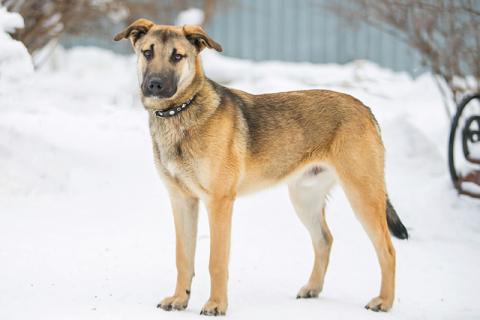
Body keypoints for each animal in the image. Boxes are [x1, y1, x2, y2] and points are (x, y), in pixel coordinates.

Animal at [113, 19, 408, 316]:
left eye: (177, 56)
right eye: (148, 52)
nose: (155, 85)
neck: (181, 110)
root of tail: (364, 108)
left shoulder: (219, 202)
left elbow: (216, 261)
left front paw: (216, 304)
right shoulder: (181, 200)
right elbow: (183, 257)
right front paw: (179, 299)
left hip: (362, 195)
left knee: (388, 250)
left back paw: (384, 301)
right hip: (304, 198)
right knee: (324, 240)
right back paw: (313, 288)